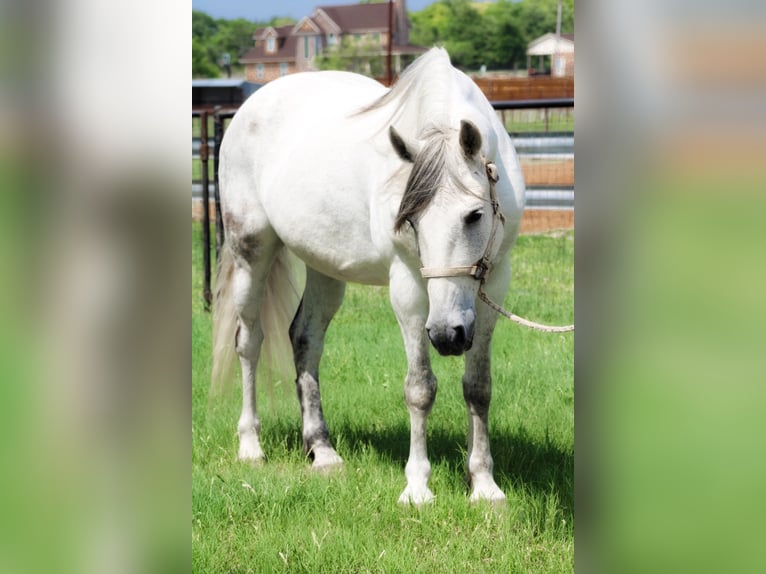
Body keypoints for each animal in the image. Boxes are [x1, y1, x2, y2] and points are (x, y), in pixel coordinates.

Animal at [214, 49, 528, 508]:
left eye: (474, 215)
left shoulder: (493, 285)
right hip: (251, 252)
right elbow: (420, 388)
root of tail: (251, 106)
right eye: (411, 220)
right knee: (249, 343)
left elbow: (478, 387)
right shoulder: (409, 290)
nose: (447, 335)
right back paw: (251, 446)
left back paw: (322, 451)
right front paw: (417, 488)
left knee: (305, 340)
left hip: (324, 269)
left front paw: (485, 486)